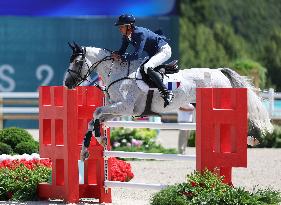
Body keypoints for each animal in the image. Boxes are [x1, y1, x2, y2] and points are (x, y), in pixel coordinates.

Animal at [63, 41, 272, 160]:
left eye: (77, 62)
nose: (67, 83)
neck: (117, 73)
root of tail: (220, 72)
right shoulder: (117, 110)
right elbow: (94, 119)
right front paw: (89, 147)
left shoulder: (125, 107)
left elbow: (96, 113)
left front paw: (98, 138)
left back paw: (252, 138)